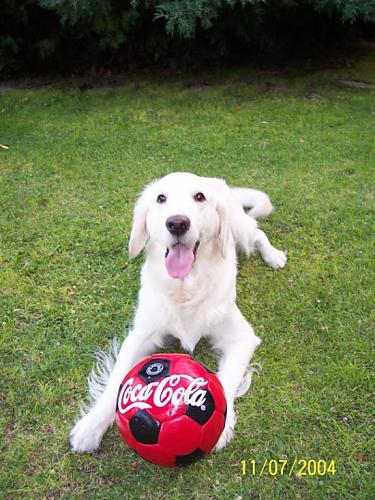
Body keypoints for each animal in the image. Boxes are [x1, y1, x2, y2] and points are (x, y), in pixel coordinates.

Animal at [71, 172, 288, 454]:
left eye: (200, 197)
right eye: (161, 198)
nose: (177, 223)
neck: (184, 289)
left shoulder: (242, 337)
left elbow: (226, 379)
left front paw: (221, 427)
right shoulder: (140, 335)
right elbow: (117, 380)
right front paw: (91, 425)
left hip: (240, 228)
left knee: (258, 232)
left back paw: (274, 256)